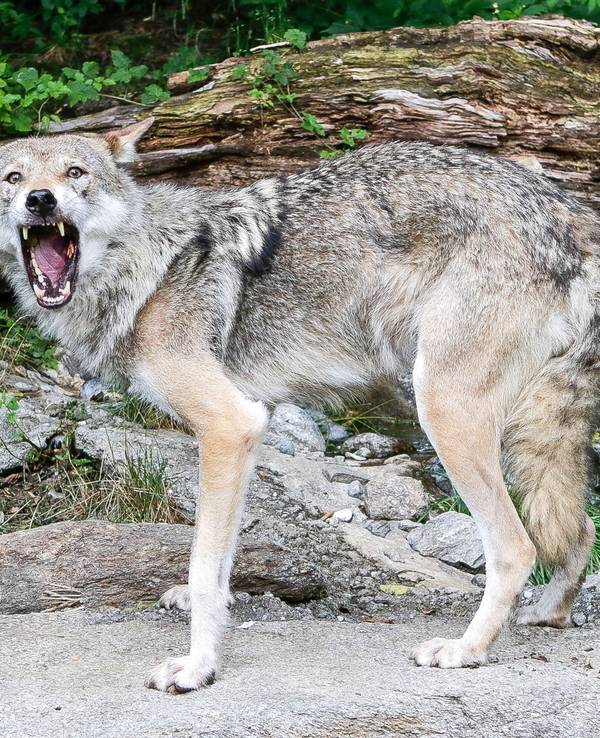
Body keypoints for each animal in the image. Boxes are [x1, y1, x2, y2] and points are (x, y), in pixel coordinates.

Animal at [0, 118, 598, 692]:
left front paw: (198, 667)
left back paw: (466, 650)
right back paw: (548, 614)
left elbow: (202, 562)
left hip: (445, 412)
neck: (149, 267)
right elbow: (222, 553)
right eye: (13, 178)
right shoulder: (247, 430)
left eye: (76, 173)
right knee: (578, 530)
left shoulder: (230, 425)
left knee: (518, 548)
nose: (41, 200)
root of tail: (567, 210)